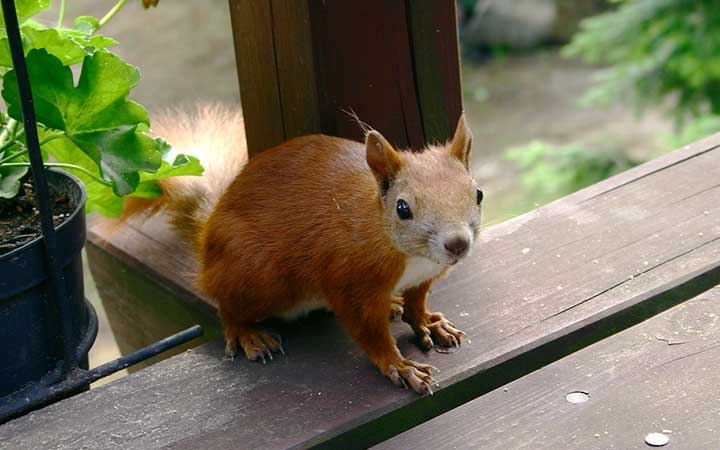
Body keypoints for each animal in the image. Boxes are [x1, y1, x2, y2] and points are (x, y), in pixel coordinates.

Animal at [135, 104, 484, 394]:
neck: (411, 256)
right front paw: (399, 365)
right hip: (254, 273)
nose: (457, 243)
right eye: (402, 208)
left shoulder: (423, 276)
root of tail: (207, 243)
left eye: (477, 193)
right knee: (227, 305)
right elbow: (368, 331)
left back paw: (392, 303)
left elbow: (417, 300)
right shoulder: (348, 278)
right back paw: (247, 333)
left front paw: (427, 322)